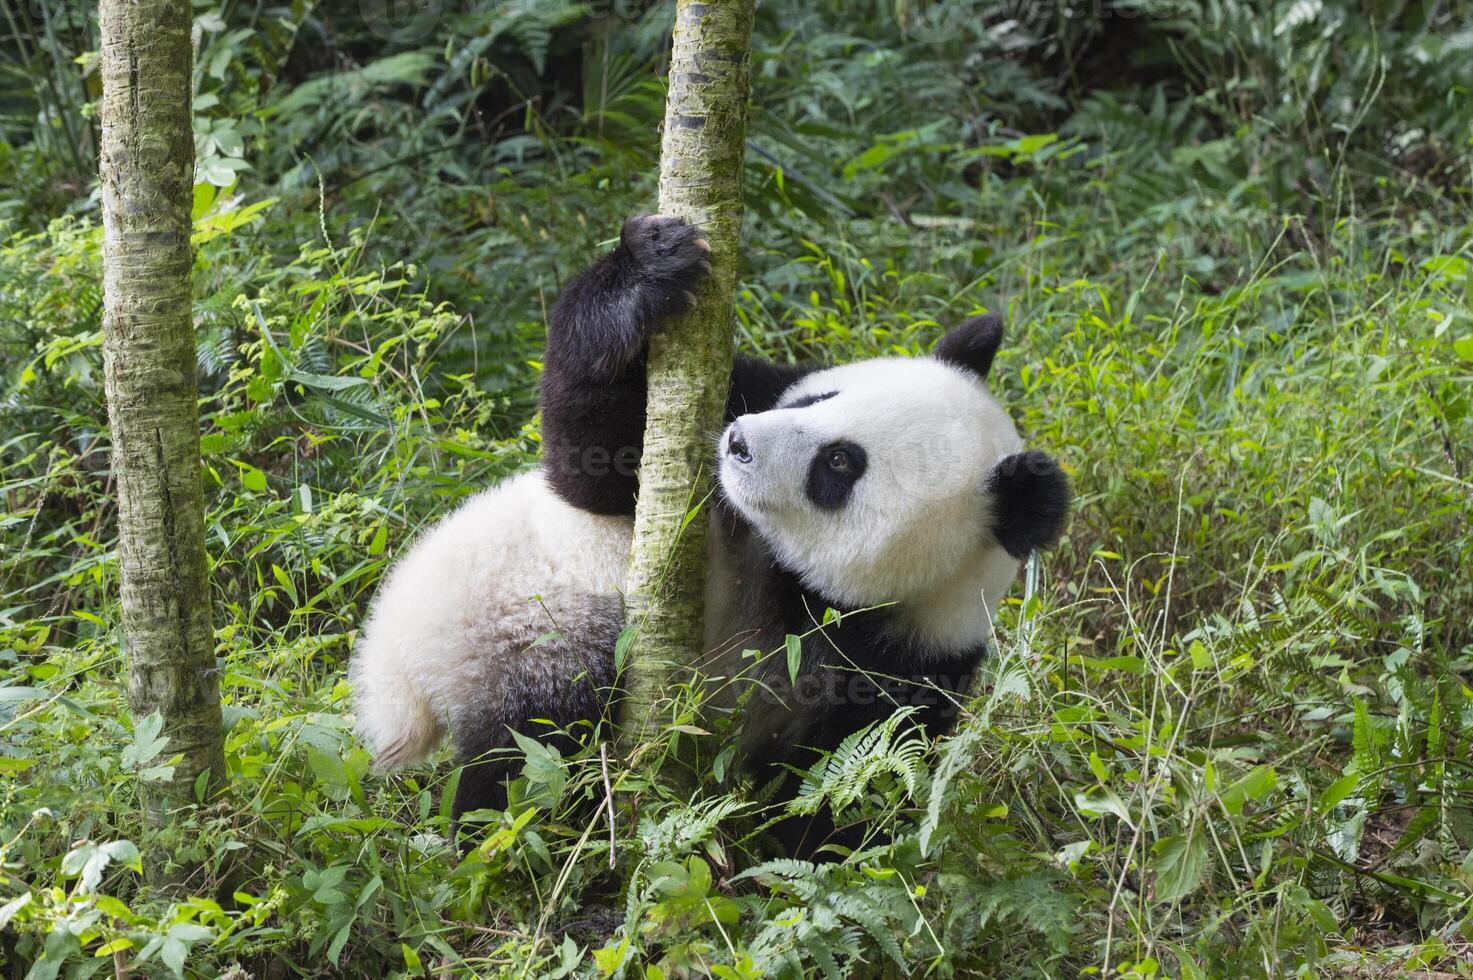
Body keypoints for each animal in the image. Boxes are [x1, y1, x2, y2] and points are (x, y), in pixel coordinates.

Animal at [356, 213, 1072, 848]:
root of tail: (408, 672)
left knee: (532, 751)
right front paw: (651, 265)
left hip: (528, 642)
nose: (738, 444)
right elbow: (592, 465)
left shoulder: (913, 663)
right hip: (517, 615)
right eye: (821, 398)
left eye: (840, 463)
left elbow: (844, 788)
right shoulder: (728, 418)